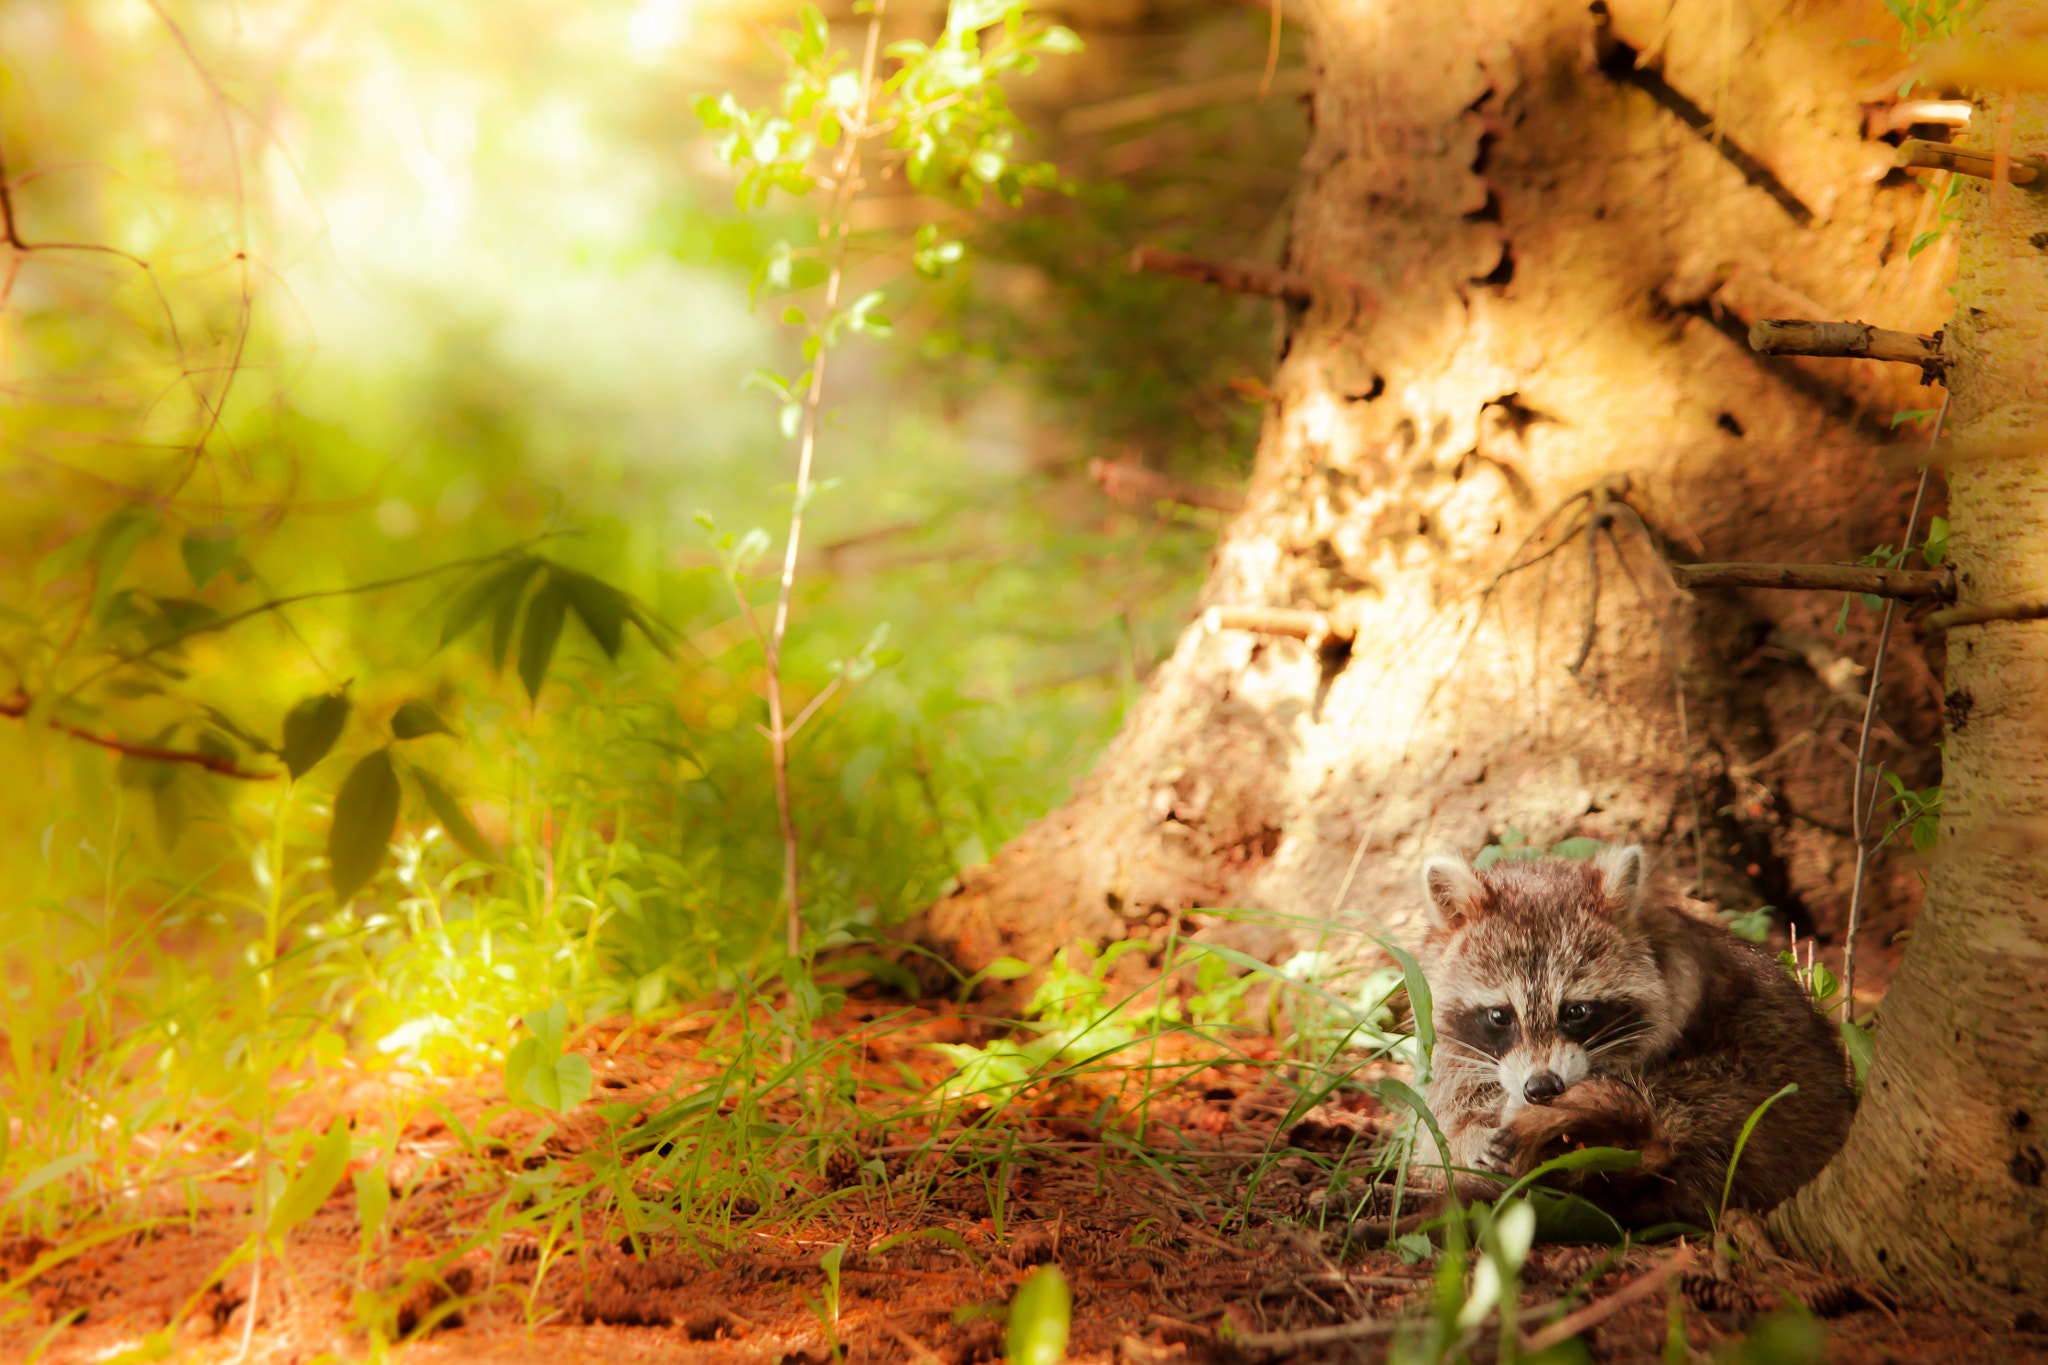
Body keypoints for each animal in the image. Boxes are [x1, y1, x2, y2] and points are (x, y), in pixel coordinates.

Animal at [1408, 844, 1856, 1229]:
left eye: (1576, 1011)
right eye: (1500, 1016)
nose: (1542, 1087)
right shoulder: (1454, 1052)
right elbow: (1445, 1126)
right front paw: (1473, 1133)